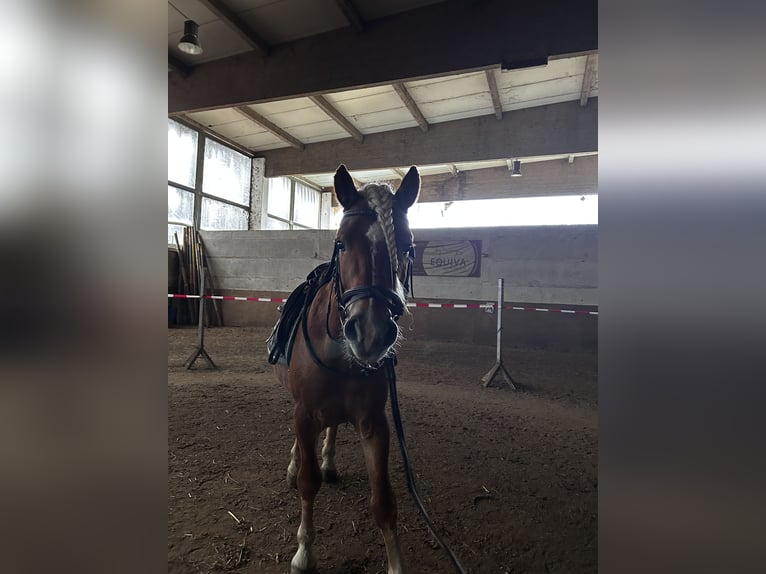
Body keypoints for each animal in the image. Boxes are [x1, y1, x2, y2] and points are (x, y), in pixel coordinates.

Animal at [274, 164, 424, 574]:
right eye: (341, 243)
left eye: (407, 246)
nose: (370, 332)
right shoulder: (304, 413)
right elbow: (308, 483)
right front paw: (303, 554)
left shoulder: (374, 422)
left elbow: (383, 502)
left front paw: (396, 565)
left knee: (333, 428)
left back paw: (328, 461)